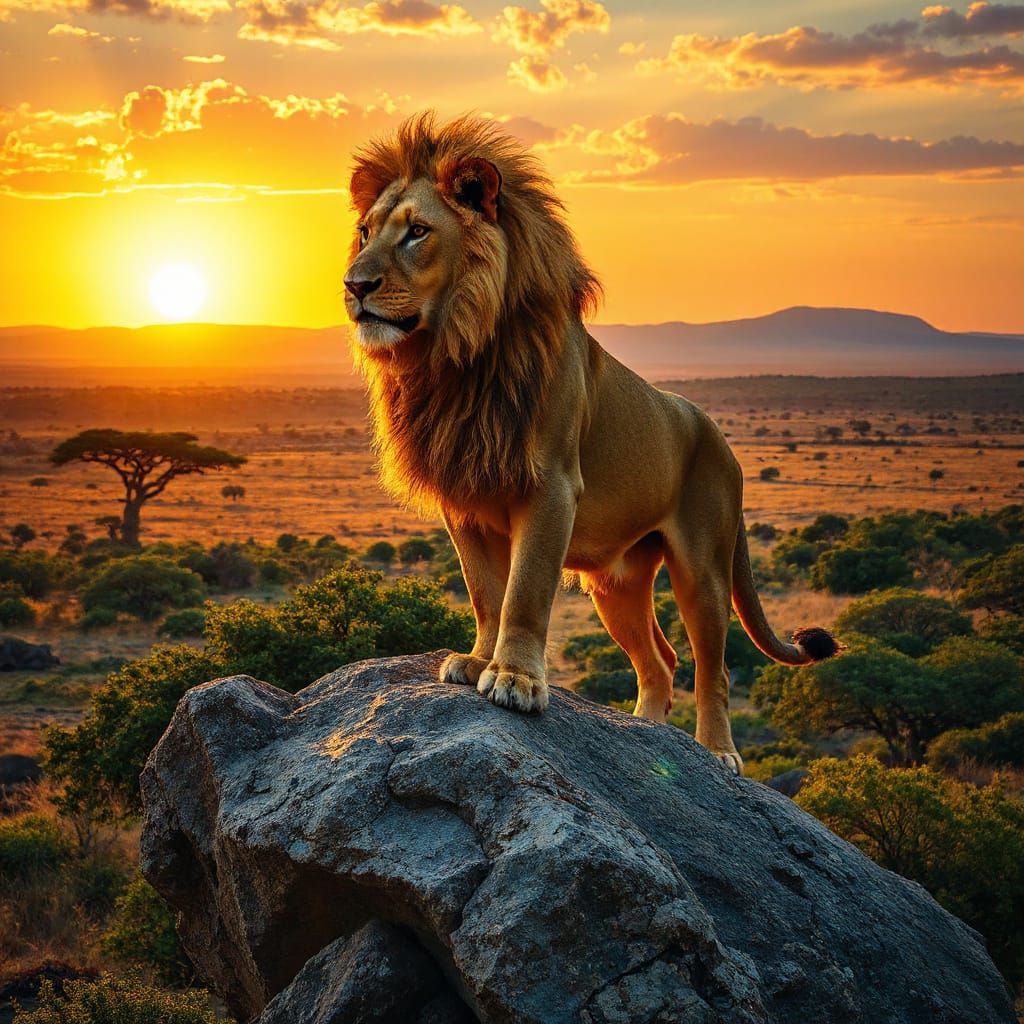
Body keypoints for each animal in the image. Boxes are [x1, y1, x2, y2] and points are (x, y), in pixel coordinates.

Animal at [342, 113, 838, 773]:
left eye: (417, 232)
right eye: (365, 232)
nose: (353, 284)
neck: (455, 356)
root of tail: (718, 436)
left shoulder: (551, 485)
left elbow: (524, 592)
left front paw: (515, 679)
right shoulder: (463, 496)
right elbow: (485, 592)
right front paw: (477, 660)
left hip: (703, 568)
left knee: (714, 667)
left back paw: (717, 753)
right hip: (618, 584)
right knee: (661, 662)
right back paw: (646, 734)